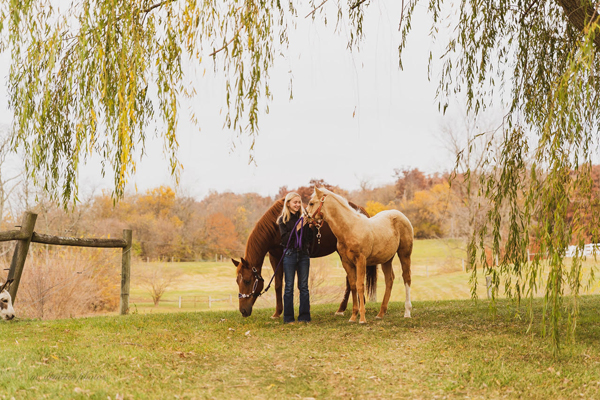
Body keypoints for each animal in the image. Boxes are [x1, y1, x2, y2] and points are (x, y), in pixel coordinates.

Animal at [233, 198, 378, 318]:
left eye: (247, 281)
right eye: (237, 281)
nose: (243, 311)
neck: (274, 228)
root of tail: (359, 210)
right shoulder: (275, 257)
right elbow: (278, 284)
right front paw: (277, 313)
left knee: (349, 280)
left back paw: (341, 309)